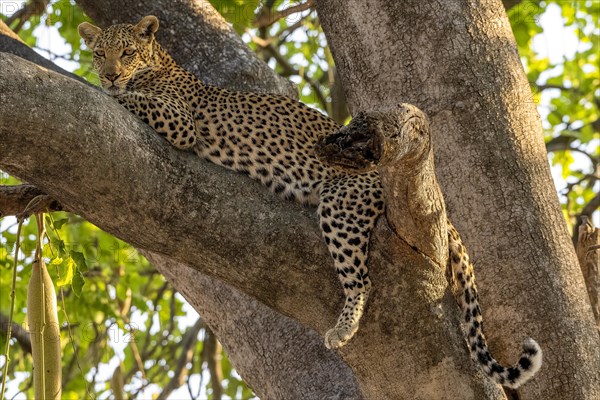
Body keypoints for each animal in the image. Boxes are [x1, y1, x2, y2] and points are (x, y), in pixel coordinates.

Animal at [79, 15, 544, 388]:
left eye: (127, 52)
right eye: (100, 53)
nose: (110, 75)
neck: (158, 64)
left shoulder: (179, 121)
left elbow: (133, 99)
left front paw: (102, 90)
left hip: (341, 206)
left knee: (362, 280)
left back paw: (342, 328)